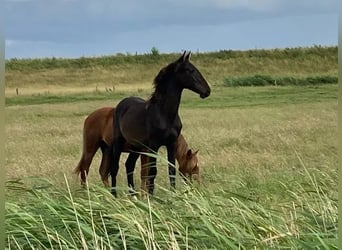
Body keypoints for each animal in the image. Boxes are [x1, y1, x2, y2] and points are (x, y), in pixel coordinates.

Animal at [109, 50, 211, 195]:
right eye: (189, 70)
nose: (207, 91)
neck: (165, 115)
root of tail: (121, 104)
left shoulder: (171, 144)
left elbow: (171, 170)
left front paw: (173, 195)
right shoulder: (154, 146)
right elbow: (152, 171)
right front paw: (152, 196)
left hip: (136, 146)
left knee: (129, 165)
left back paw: (133, 195)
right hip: (119, 142)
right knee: (114, 168)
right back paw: (114, 195)